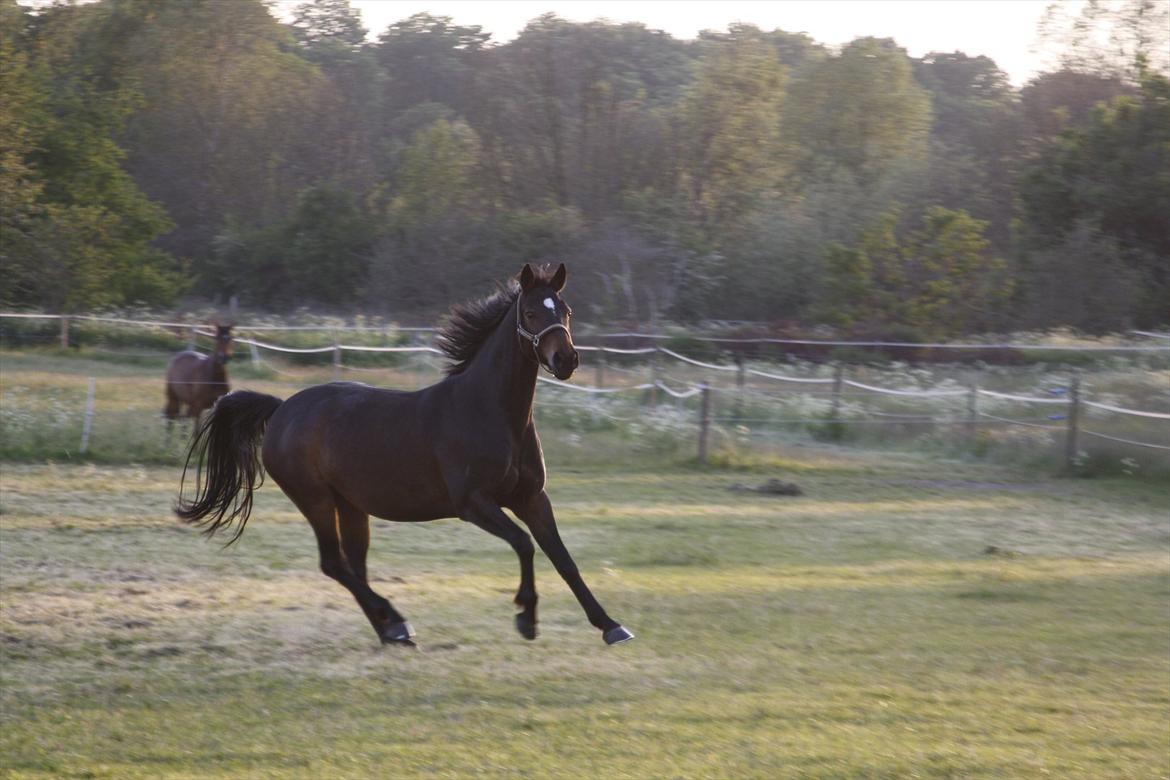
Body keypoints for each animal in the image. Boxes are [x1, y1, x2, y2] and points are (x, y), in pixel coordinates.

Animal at [173, 265, 631, 650]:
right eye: (532, 313)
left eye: (566, 311)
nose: (566, 360)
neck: (490, 411)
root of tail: (282, 407)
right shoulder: (474, 504)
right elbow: (524, 544)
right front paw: (526, 617)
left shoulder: (533, 498)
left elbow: (563, 559)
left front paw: (611, 626)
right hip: (314, 499)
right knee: (333, 564)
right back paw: (394, 620)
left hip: (350, 505)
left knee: (353, 566)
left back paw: (391, 630)